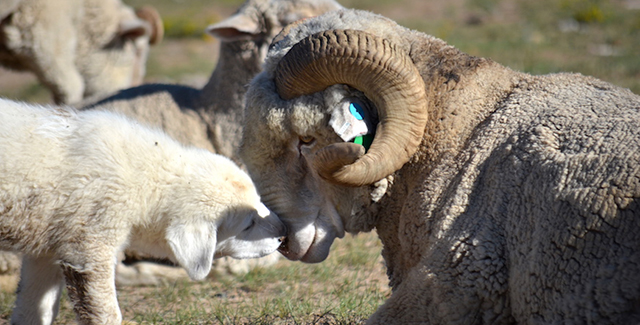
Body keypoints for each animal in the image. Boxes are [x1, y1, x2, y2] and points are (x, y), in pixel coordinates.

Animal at [0, 97, 284, 324]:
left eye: (260, 203)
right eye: (248, 224)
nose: (283, 233)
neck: (147, 178)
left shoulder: (47, 249)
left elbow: (34, 310)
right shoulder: (88, 248)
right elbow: (106, 314)